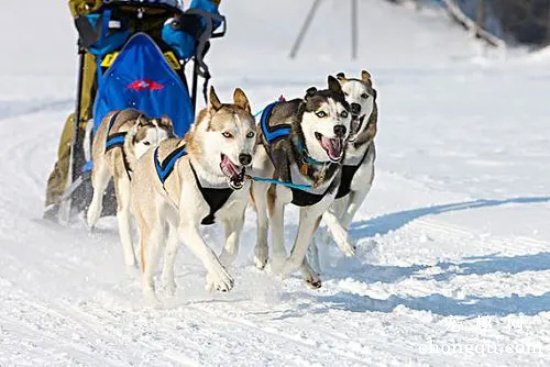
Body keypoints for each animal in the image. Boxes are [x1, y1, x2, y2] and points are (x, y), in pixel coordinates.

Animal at [87, 109, 174, 268]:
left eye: (164, 142)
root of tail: (118, 110)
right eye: (147, 142)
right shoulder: (124, 208)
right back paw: (93, 213)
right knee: (98, 190)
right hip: (101, 168)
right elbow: (128, 243)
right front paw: (132, 266)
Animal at [132, 87, 256, 300]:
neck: (216, 180)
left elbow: (230, 251)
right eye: (227, 134)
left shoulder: (235, 219)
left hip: (175, 228)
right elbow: (207, 251)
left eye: (250, 134)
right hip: (155, 231)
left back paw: (169, 285)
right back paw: (153, 301)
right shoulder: (189, 226)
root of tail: (148, 154)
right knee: (147, 271)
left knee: (169, 254)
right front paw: (221, 278)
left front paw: (212, 279)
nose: (245, 158)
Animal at [252, 77, 356, 290]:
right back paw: (261, 252)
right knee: (262, 221)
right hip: (260, 177)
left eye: (343, 113)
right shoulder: (276, 198)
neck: (313, 163)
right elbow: (280, 248)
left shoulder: (313, 210)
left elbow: (298, 253)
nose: (340, 129)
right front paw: (277, 267)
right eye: (321, 113)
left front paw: (291, 268)